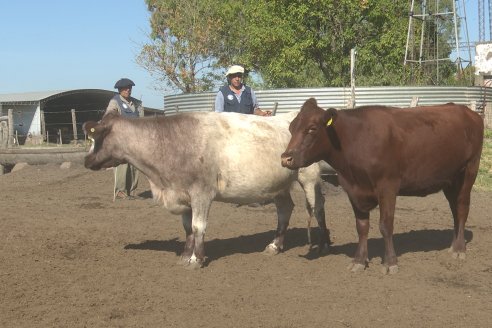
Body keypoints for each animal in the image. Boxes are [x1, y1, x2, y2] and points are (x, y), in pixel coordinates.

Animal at [83, 111, 330, 268]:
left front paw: (197, 259)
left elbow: (198, 226)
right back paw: (274, 245)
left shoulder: (201, 193)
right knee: (285, 209)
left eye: (95, 137)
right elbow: (187, 229)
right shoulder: (182, 195)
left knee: (317, 207)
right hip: (278, 185)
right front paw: (185, 256)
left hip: (309, 177)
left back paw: (323, 244)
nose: (86, 160)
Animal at [280, 98, 484, 274]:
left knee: (462, 208)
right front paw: (359, 261)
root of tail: (468, 112)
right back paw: (453, 244)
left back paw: (459, 249)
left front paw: (390, 262)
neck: (355, 141)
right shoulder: (353, 190)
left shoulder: (388, 186)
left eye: (312, 128)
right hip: (450, 179)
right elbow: (361, 226)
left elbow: (386, 225)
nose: (286, 158)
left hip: (469, 170)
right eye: (291, 128)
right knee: (455, 210)